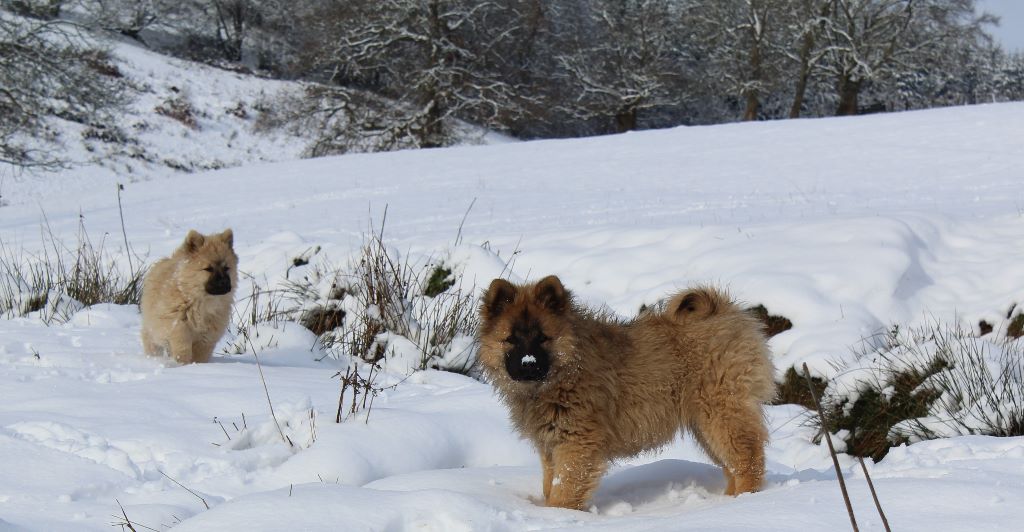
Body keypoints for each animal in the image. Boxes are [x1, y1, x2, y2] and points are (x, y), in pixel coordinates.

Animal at [140, 228, 237, 366]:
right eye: (208, 269)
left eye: (226, 268)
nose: (224, 283)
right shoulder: (179, 328)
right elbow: (182, 350)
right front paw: (184, 365)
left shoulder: (207, 336)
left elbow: (200, 355)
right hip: (153, 330)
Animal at [479, 276, 774, 509]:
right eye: (511, 339)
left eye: (543, 338)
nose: (528, 364)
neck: (566, 371)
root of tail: (723, 310)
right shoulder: (550, 445)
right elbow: (550, 484)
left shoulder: (576, 442)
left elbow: (565, 490)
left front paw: (557, 515)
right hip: (704, 425)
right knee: (733, 464)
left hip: (721, 412)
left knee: (748, 459)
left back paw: (744, 502)